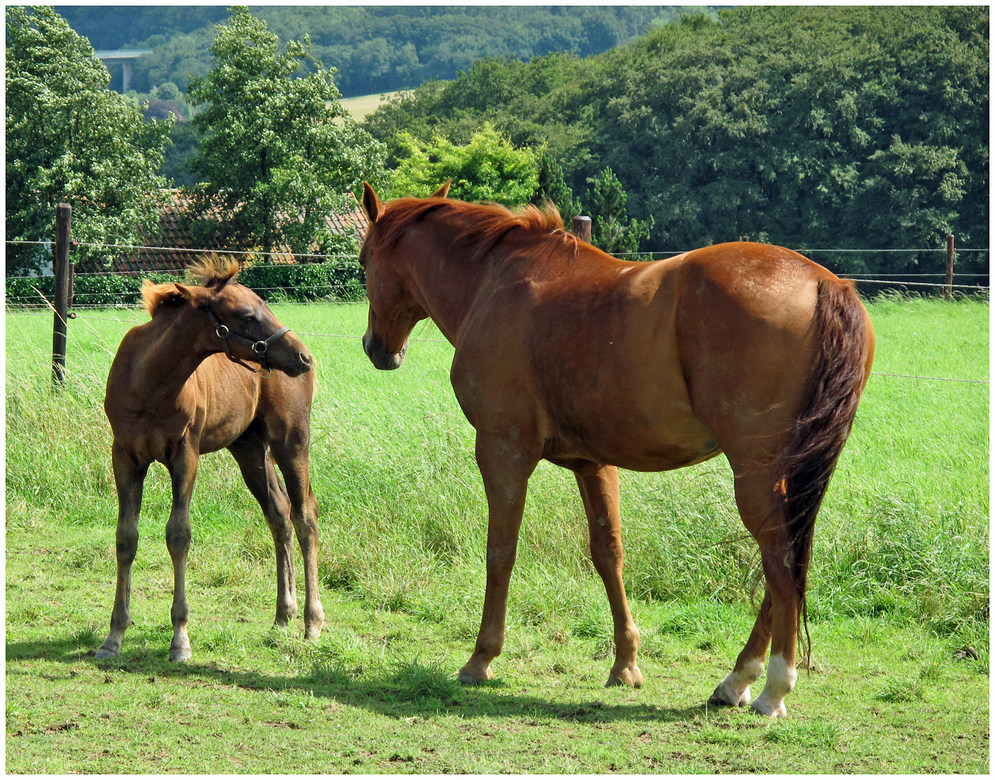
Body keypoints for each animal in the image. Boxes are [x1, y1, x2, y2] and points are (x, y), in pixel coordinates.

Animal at [96, 258, 322, 660]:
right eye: (247, 315)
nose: (303, 356)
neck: (149, 383)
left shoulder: (185, 455)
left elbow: (178, 534)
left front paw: (180, 638)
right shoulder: (124, 456)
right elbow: (126, 537)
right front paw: (114, 635)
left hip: (291, 440)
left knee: (304, 514)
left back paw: (312, 622)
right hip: (249, 447)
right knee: (278, 513)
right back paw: (283, 615)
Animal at [362, 184, 876, 720]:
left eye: (363, 261)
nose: (376, 348)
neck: (493, 280)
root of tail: (825, 283)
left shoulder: (502, 451)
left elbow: (500, 552)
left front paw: (481, 658)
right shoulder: (593, 462)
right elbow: (608, 553)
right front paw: (625, 664)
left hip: (756, 474)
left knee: (780, 561)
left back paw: (771, 685)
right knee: (789, 562)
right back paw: (735, 682)